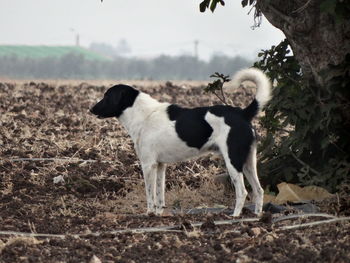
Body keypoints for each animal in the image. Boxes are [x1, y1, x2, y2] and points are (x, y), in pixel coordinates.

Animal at [89, 69, 270, 218]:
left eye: (107, 96)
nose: (90, 110)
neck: (143, 114)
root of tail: (242, 113)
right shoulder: (160, 165)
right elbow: (160, 194)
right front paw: (159, 213)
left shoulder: (148, 165)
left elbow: (150, 194)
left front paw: (149, 213)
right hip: (248, 162)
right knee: (258, 190)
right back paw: (257, 215)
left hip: (233, 161)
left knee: (242, 191)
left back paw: (235, 216)